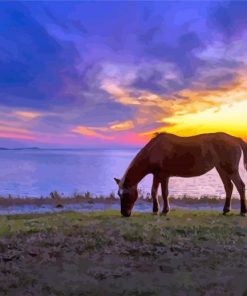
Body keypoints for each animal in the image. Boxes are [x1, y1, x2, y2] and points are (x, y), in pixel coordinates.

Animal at [114, 132, 247, 217]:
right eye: (119, 194)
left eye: (126, 194)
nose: (124, 214)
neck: (154, 150)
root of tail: (235, 139)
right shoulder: (156, 175)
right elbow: (154, 191)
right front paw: (155, 210)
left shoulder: (164, 175)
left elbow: (164, 192)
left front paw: (165, 211)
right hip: (221, 169)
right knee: (229, 187)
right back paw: (226, 210)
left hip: (231, 170)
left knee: (240, 186)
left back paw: (242, 211)